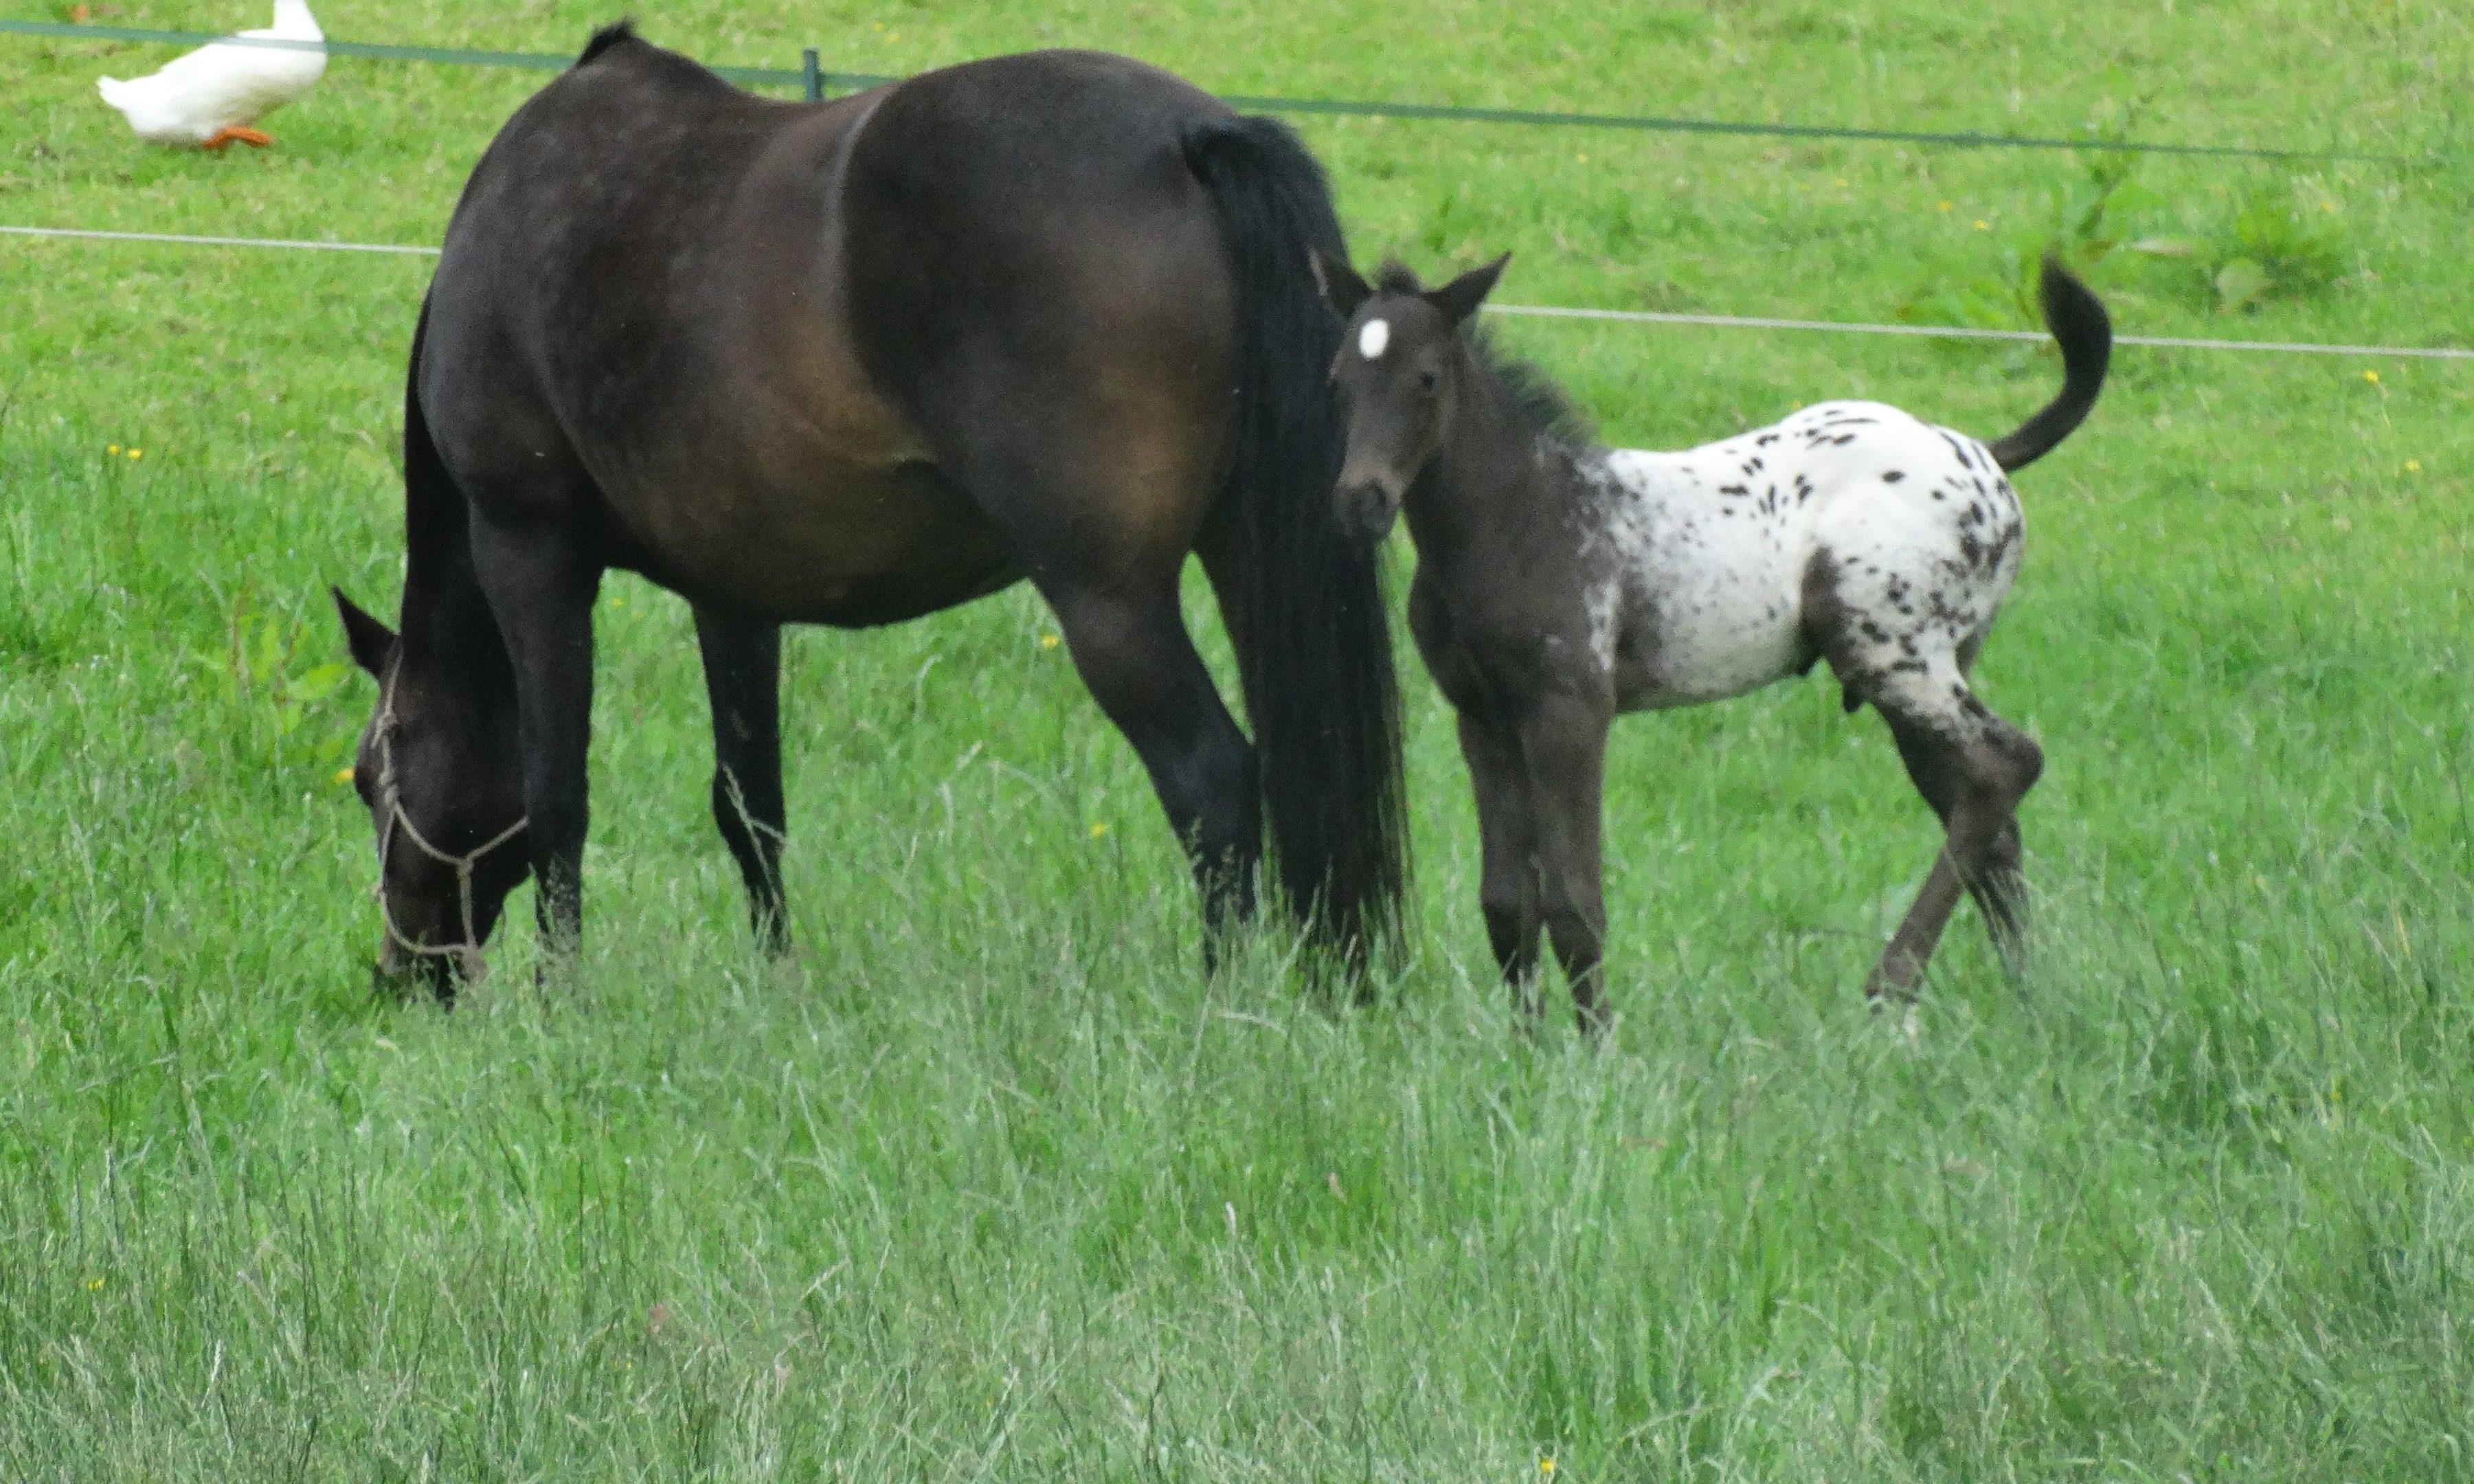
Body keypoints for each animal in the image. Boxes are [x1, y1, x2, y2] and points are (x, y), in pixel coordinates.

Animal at [336, 26, 1405, 999]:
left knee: (1213, 781)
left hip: (1109, 600)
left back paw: (1224, 1003)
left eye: (368, 776)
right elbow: (749, 802)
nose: (401, 973)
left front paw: (562, 998)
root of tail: (1193, 136)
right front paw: (777, 982)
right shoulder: (732, 593)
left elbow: (559, 794)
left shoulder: (529, 552)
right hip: (1246, 555)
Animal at [1316, 249, 2108, 1024]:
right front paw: (1525, 1048)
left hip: (1894, 660)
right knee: (1986, 814)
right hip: (1925, 668)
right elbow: (1507, 905)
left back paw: (1894, 986)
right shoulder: (1482, 719)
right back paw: (2024, 997)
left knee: (2007, 766)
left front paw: (1594, 1051)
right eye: (1338, 379)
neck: (1522, 514)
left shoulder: (1570, 714)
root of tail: (1982, 454)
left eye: (1425, 379)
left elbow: (1574, 903)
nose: (1361, 503)